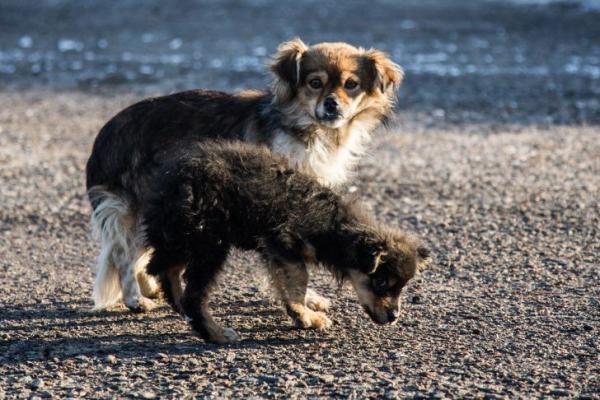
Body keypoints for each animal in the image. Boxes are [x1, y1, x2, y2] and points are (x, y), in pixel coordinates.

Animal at [85, 37, 404, 312]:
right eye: (315, 83)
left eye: (351, 85)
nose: (332, 104)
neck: (305, 130)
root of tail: (103, 138)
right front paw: (303, 299)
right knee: (123, 254)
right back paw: (134, 299)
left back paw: (150, 287)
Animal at [143, 141, 428, 344]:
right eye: (381, 283)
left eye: (402, 287)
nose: (394, 317)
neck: (331, 222)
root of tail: (170, 184)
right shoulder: (284, 244)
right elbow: (298, 282)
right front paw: (306, 317)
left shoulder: (275, 252)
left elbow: (285, 283)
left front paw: (302, 313)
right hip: (209, 243)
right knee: (193, 295)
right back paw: (216, 334)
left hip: (186, 238)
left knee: (167, 272)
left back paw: (181, 308)